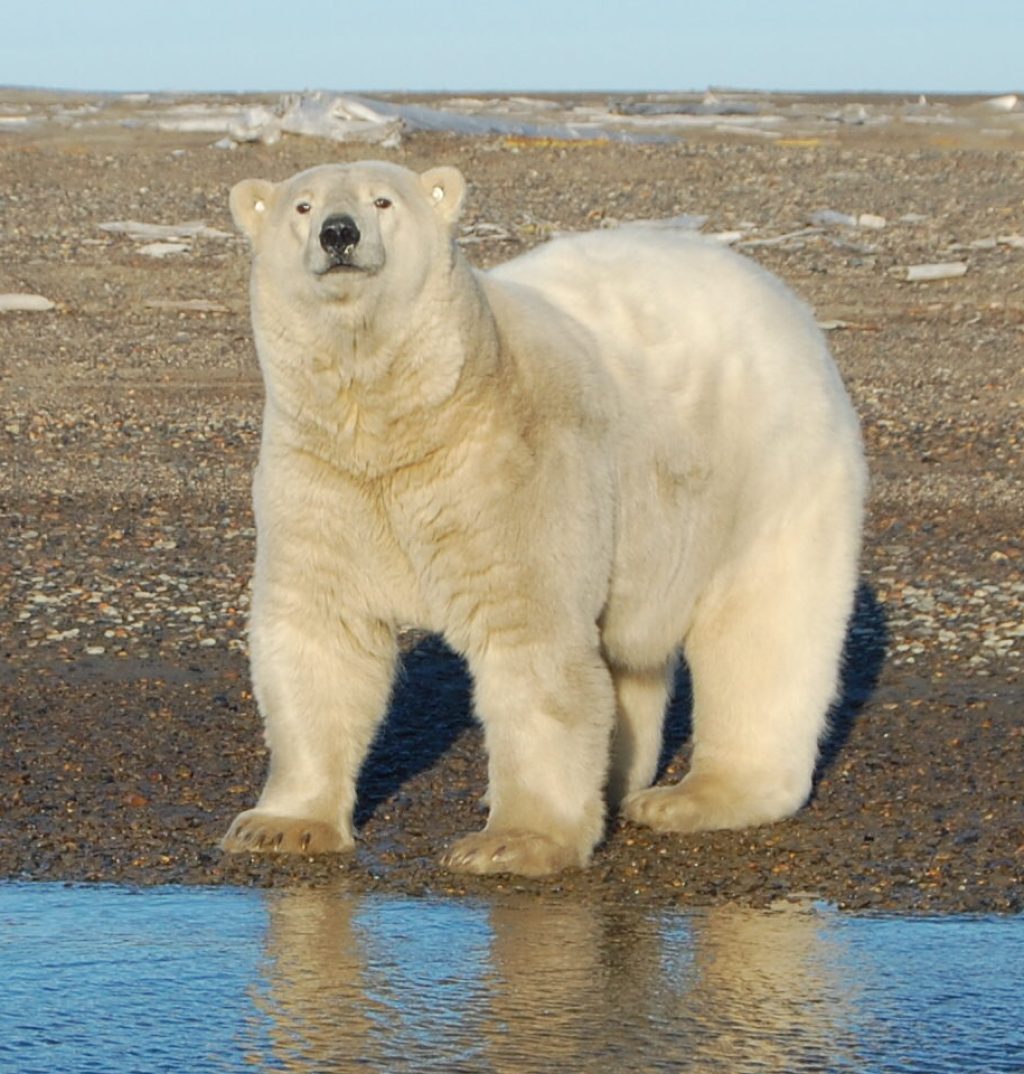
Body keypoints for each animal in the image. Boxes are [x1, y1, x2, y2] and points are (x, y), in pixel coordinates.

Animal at [220, 160, 866, 877]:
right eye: (302, 206)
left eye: (382, 200)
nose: (340, 233)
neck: (410, 419)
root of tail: (788, 304)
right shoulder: (324, 475)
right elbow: (320, 630)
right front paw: (280, 825)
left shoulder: (511, 463)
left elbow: (532, 642)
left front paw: (511, 842)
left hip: (769, 471)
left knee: (762, 633)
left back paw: (695, 796)